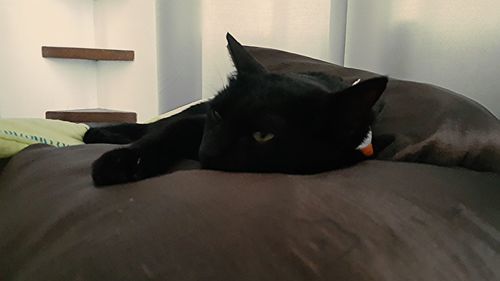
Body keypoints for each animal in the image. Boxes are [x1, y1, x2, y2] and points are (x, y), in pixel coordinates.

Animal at [84, 33, 386, 186]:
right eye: (218, 114)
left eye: (263, 135)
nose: (205, 152)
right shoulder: (197, 121)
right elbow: (164, 132)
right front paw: (121, 162)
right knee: (150, 126)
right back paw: (96, 134)